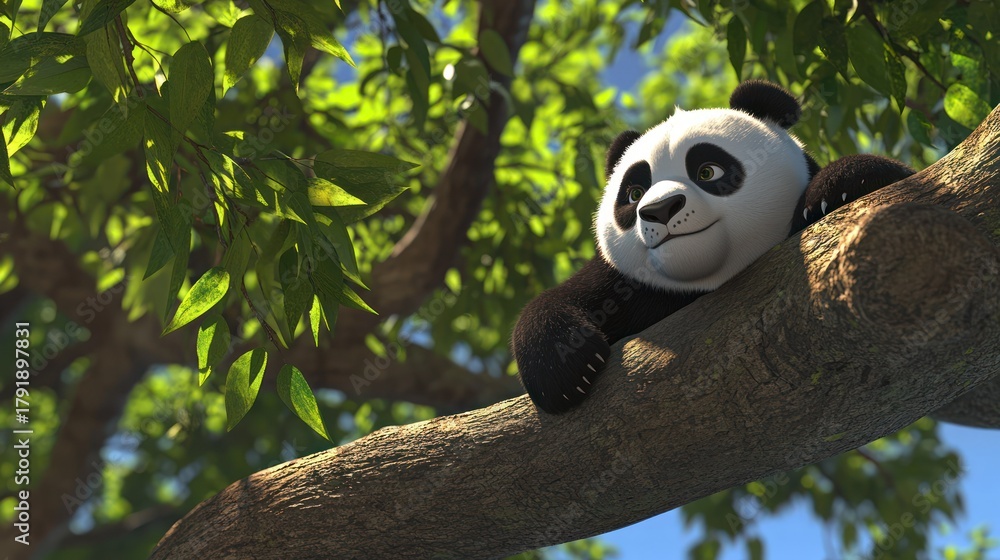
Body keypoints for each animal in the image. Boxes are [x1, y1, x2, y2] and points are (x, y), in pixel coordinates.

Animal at [512, 80, 915, 414]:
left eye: (708, 171)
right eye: (634, 193)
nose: (659, 210)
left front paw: (837, 187)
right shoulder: (625, 285)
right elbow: (557, 302)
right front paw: (563, 371)